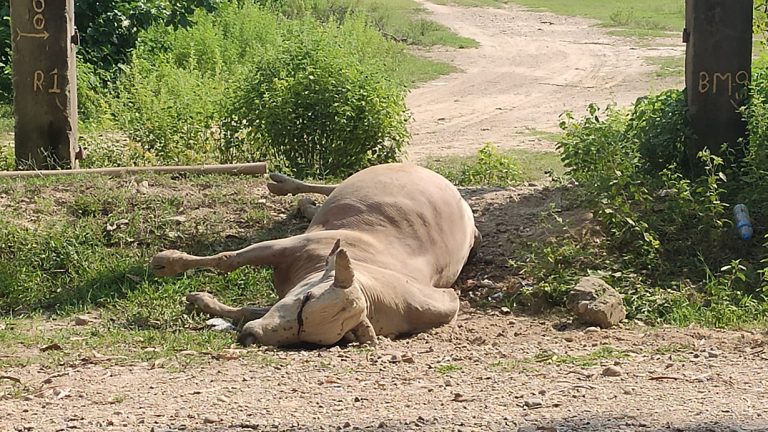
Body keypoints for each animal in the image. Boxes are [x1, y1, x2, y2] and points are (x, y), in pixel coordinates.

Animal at [150, 163, 480, 348]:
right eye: (307, 299)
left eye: (309, 337)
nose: (251, 339)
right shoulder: (288, 245)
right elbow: (227, 260)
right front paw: (165, 261)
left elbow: (248, 310)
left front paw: (201, 299)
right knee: (329, 185)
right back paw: (286, 185)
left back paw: (303, 202)